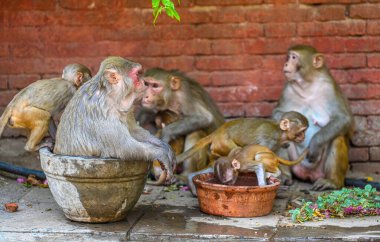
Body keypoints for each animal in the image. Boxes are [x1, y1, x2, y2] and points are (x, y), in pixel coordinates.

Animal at [54, 56, 176, 184]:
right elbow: (124, 147)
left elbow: (134, 131)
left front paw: (164, 146)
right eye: (137, 75)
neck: (110, 94)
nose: (144, 82)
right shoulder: (104, 114)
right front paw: (160, 153)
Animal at [178, 111, 308, 195]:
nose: (303, 137)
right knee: (243, 153)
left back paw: (190, 178)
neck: (280, 133)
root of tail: (217, 132)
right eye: (301, 131)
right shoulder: (268, 141)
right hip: (222, 144)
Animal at [272, 44, 354, 190]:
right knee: (282, 136)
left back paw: (332, 182)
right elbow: (277, 113)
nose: (286, 63)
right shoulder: (288, 89)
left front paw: (315, 142)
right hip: (296, 164)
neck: (307, 86)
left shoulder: (329, 88)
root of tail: (309, 175)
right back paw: (285, 177)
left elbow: (343, 118)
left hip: (320, 170)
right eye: (289, 57)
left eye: (294, 57)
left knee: (337, 138)